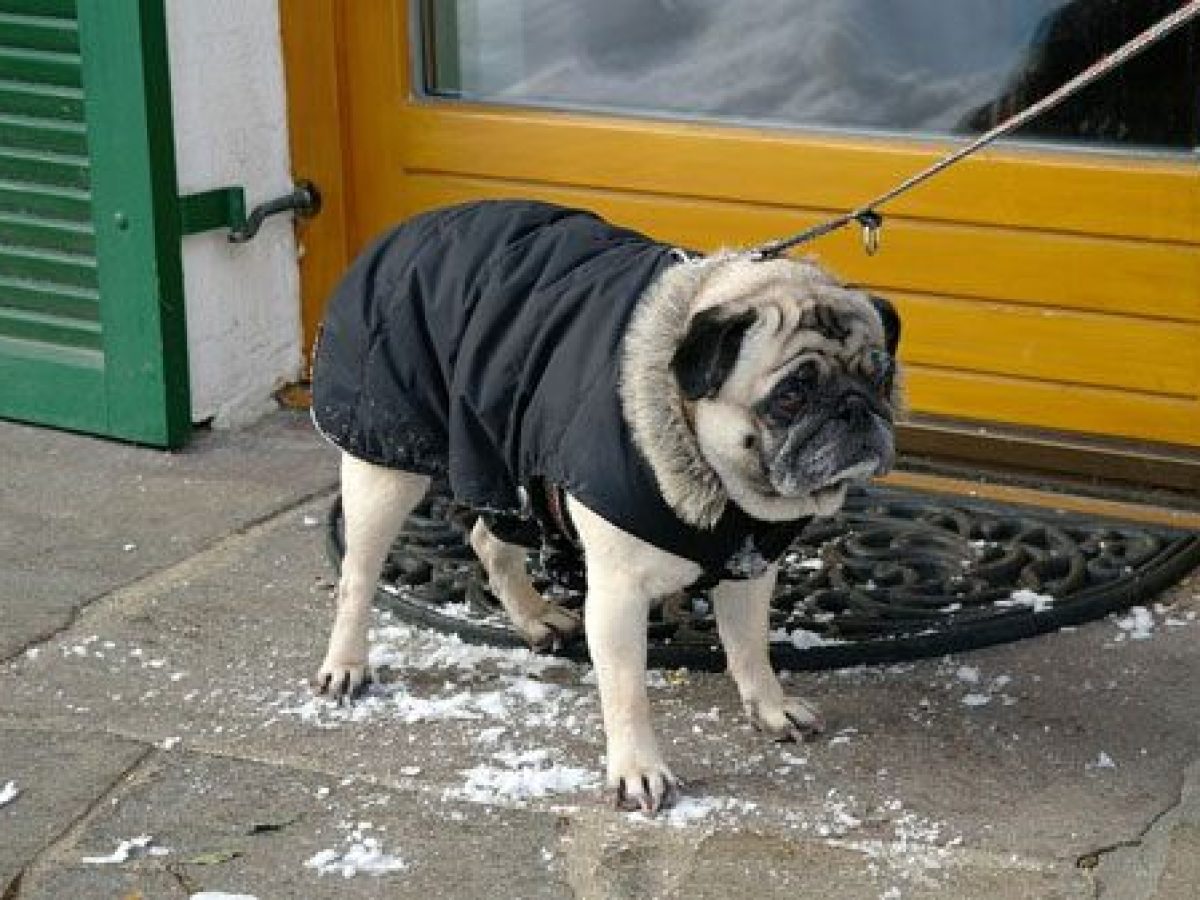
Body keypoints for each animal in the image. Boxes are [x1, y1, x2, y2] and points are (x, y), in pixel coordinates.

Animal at [309, 199, 902, 816]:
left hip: (504, 450)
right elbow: (626, 690)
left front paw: (769, 705)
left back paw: (534, 615)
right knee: (358, 574)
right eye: (790, 396)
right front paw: (638, 769)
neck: (717, 489)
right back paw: (347, 665)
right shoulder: (619, 592)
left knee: (488, 541)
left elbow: (749, 648)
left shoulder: (749, 567)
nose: (856, 408)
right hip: (386, 462)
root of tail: (413, 226)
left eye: (882, 377)